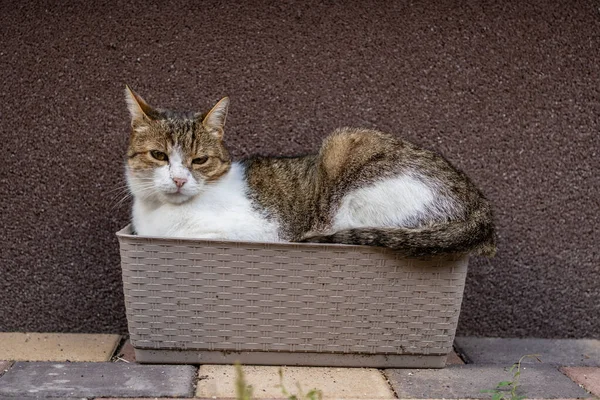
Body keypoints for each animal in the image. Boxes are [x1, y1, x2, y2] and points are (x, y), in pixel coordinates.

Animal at [124, 86, 494, 258]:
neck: (161, 216)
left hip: (344, 154)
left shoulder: (258, 232)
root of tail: (481, 205)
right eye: (158, 155)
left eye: (199, 160)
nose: (178, 179)